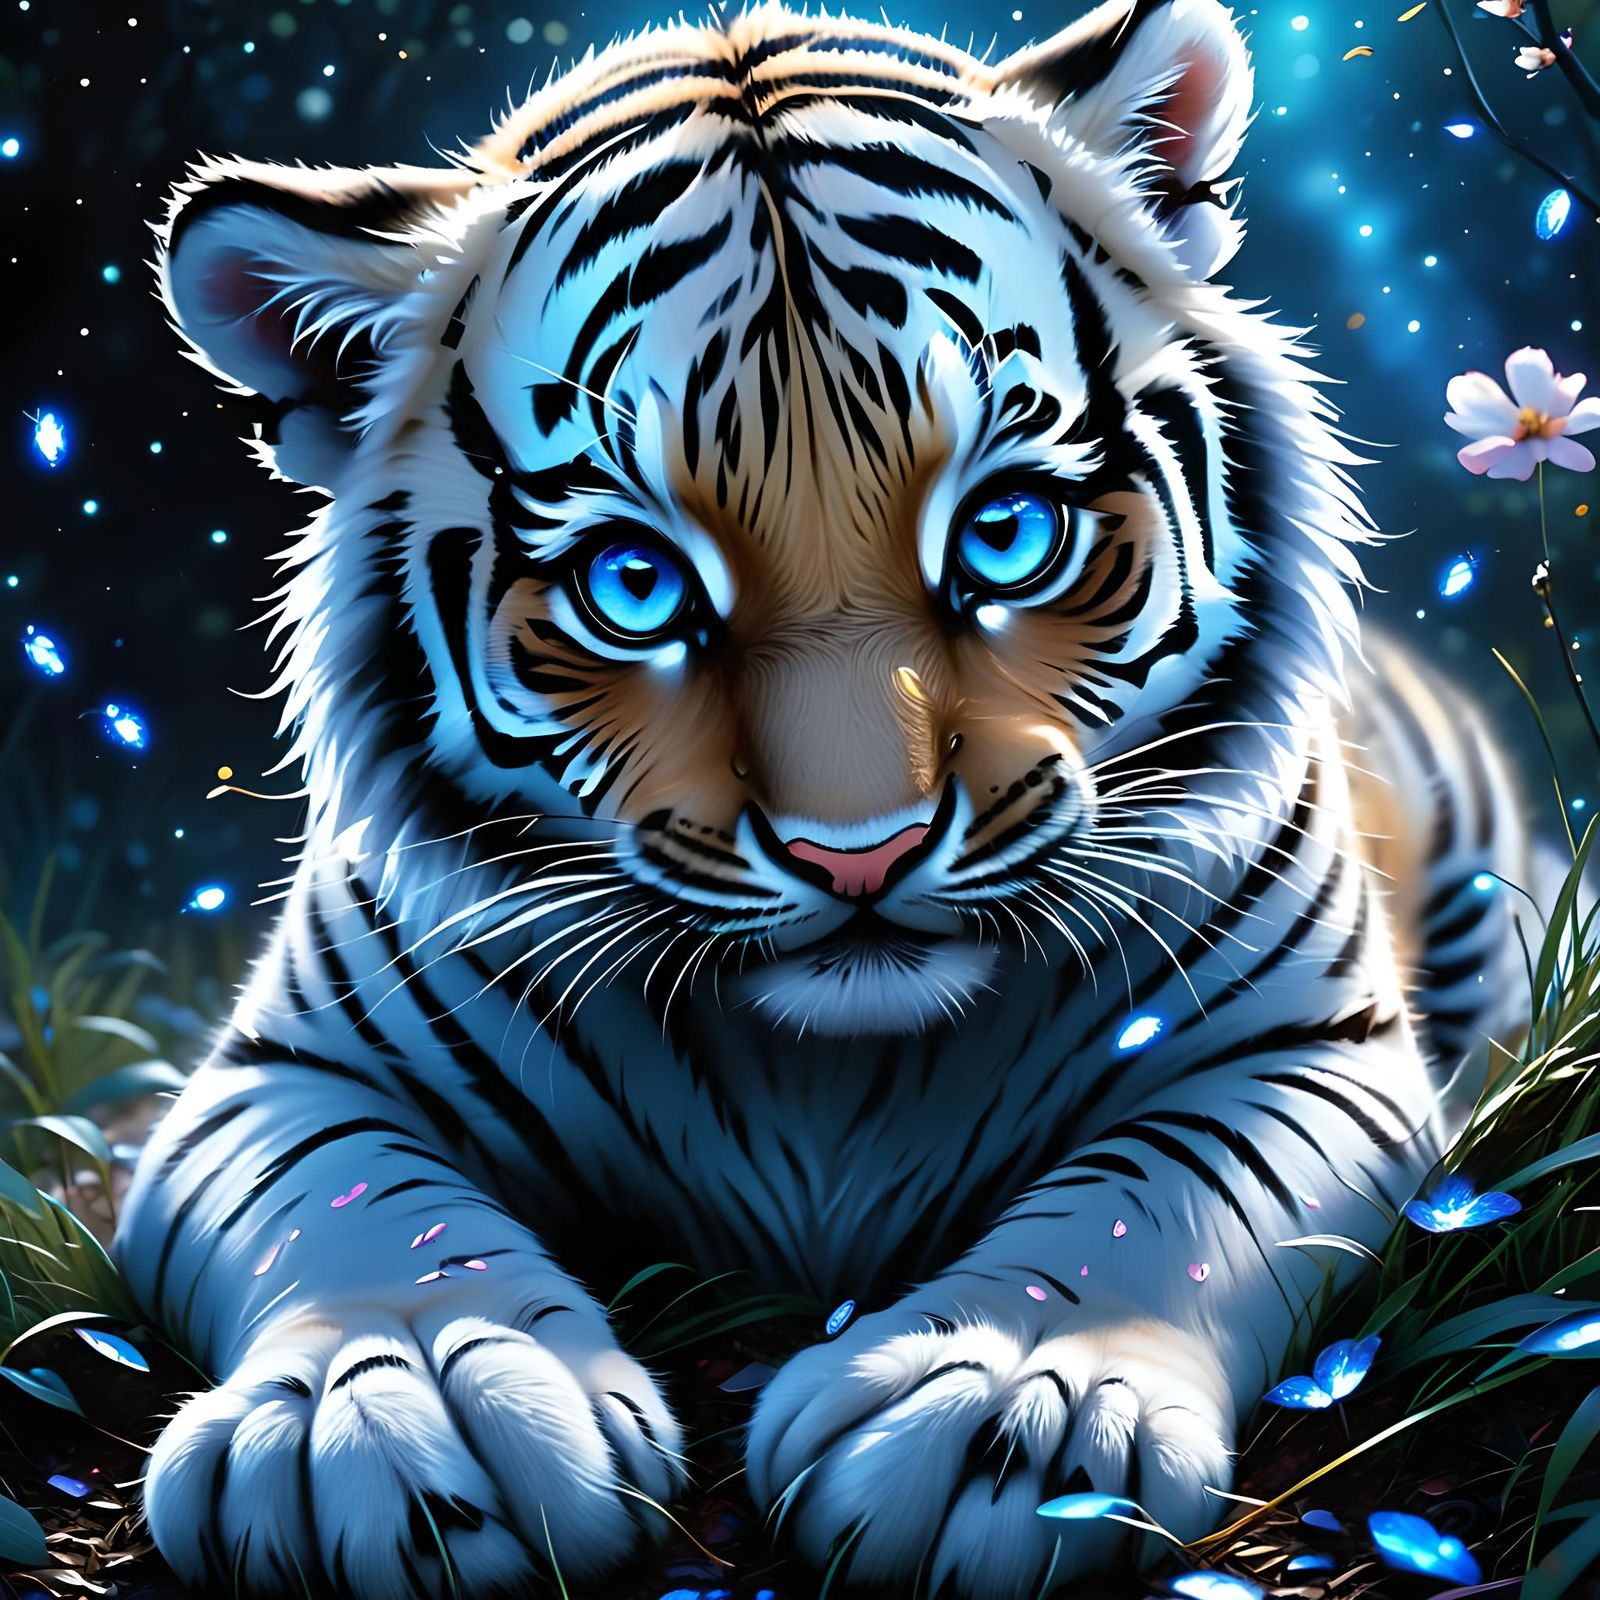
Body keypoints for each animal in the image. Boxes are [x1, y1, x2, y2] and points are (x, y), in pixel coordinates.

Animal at [114, 1, 1537, 1596]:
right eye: (633, 582)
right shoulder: (281, 1077)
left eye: (1005, 530)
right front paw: (388, 1409)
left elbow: (1158, 1192)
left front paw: (1011, 1407)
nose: (861, 857)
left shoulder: (1302, 1046)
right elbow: (356, 1212)